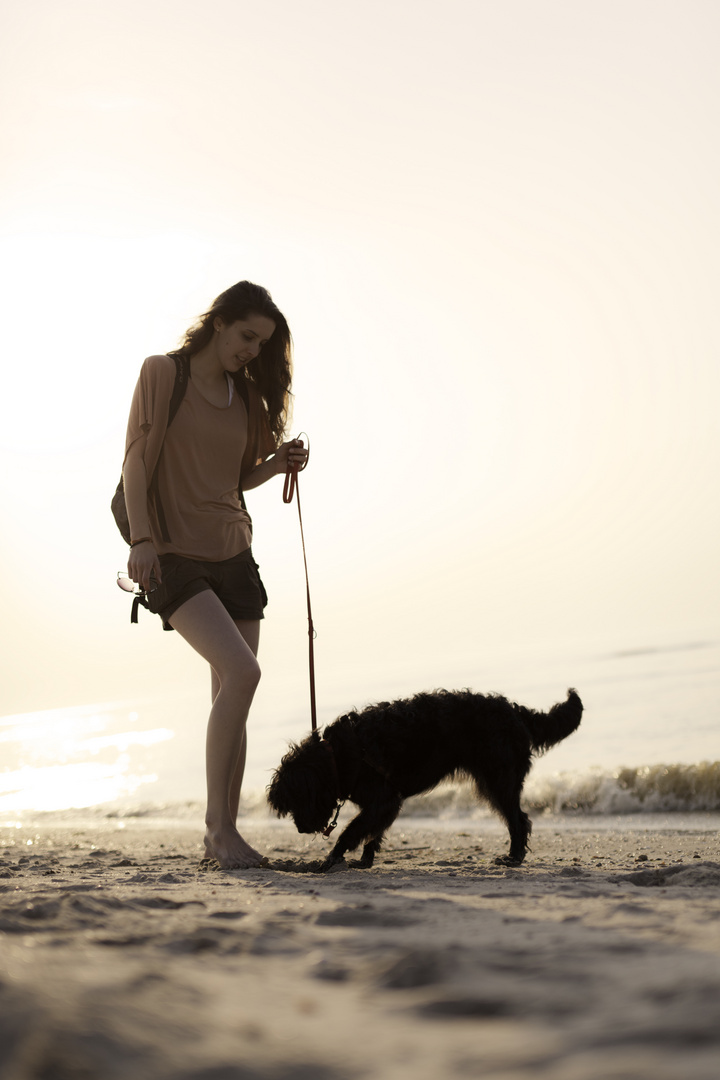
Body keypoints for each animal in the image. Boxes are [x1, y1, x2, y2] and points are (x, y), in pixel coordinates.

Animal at [267, 691, 582, 868]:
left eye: (297, 801)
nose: (300, 829)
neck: (340, 755)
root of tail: (514, 710)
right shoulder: (384, 804)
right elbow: (373, 832)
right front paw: (365, 860)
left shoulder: (383, 800)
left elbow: (353, 830)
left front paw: (334, 856)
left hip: (499, 780)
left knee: (519, 820)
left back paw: (513, 857)